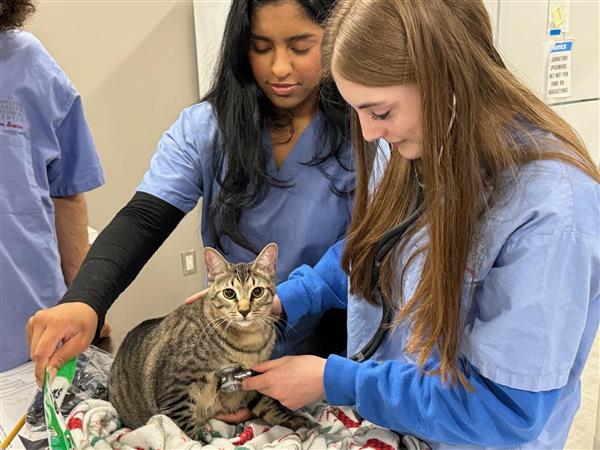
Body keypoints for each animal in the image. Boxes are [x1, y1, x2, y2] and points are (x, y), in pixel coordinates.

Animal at [108, 243, 310, 437]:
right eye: (229, 293)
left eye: (257, 291)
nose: (244, 311)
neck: (249, 343)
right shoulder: (175, 391)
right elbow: (186, 433)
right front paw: (199, 441)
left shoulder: (252, 381)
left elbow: (269, 405)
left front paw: (295, 419)